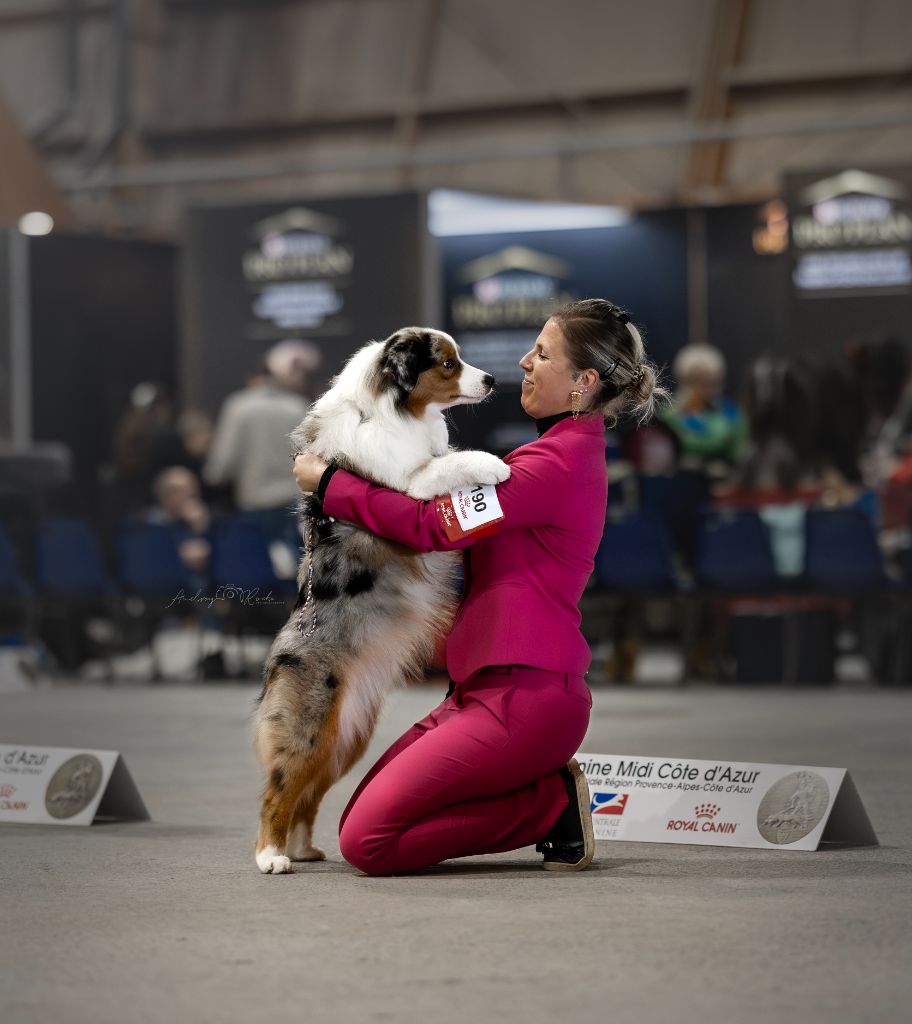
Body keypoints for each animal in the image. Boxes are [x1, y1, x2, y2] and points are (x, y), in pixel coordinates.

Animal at [252, 327, 509, 872]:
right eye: (449, 363)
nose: (493, 379)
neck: (389, 410)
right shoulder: (409, 482)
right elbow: (449, 462)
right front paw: (494, 464)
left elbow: (445, 454)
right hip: (308, 729)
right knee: (278, 790)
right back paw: (271, 857)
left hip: (345, 738)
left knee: (308, 795)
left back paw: (302, 848)